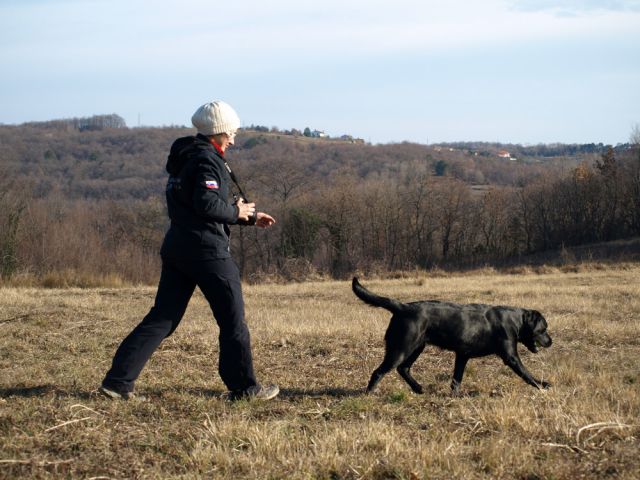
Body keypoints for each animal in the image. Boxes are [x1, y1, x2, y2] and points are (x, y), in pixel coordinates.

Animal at [352, 278, 552, 394]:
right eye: (543, 329)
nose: (551, 342)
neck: (515, 320)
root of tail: (402, 307)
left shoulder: (462, 355)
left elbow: (457, 378)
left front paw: (455, 395)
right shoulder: (511, 357)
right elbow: (526, 373)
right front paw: (541, 385)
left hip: (417, 347)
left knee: (403, 369)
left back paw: (418, 388)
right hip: (402, 348)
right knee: (379, 371)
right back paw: (369, 394)